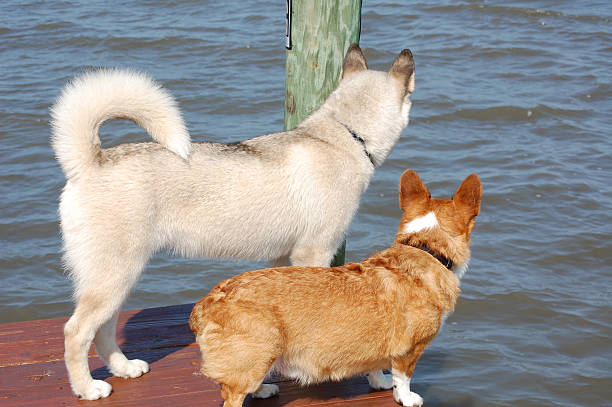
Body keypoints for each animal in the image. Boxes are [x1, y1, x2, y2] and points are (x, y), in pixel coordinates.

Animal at [189, 170, 480, 407]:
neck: (426, 248)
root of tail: (205, 305)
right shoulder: (411, 350)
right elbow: (404, 377)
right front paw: (407, 398)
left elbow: (375, 367)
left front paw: (380, 383)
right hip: (258, 350)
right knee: (234, 393)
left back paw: (263, 390)